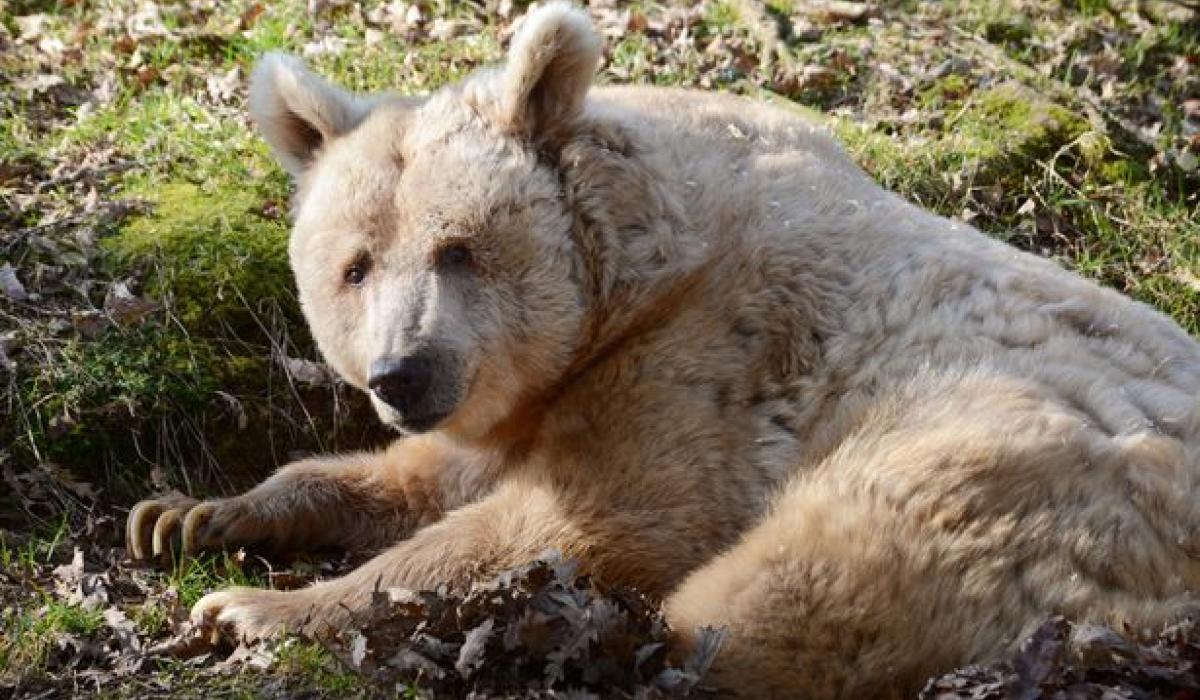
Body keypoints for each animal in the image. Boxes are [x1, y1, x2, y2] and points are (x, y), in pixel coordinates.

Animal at [126, 2, 1200, 697]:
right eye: (355, 266)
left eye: (458, 247)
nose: (403, 373)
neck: (631, 277)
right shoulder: (530, 392)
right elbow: (423, 473)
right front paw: (189, 514)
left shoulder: (712, 352)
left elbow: (591, 518)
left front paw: (253, 609)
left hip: (1012, 469)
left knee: (786, 588)